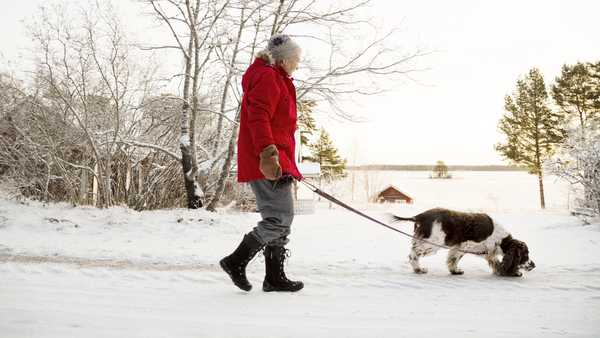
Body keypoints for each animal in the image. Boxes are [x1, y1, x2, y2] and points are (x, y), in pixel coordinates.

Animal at [392, 209, 536, 278]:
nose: (533, 265)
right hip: (432, 243)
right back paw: (418, 269)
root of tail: (419, 216)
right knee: (413, 254)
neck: (501, 239)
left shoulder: (481, 251)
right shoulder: (465, 245)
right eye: (525, 254)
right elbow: (455, 259)